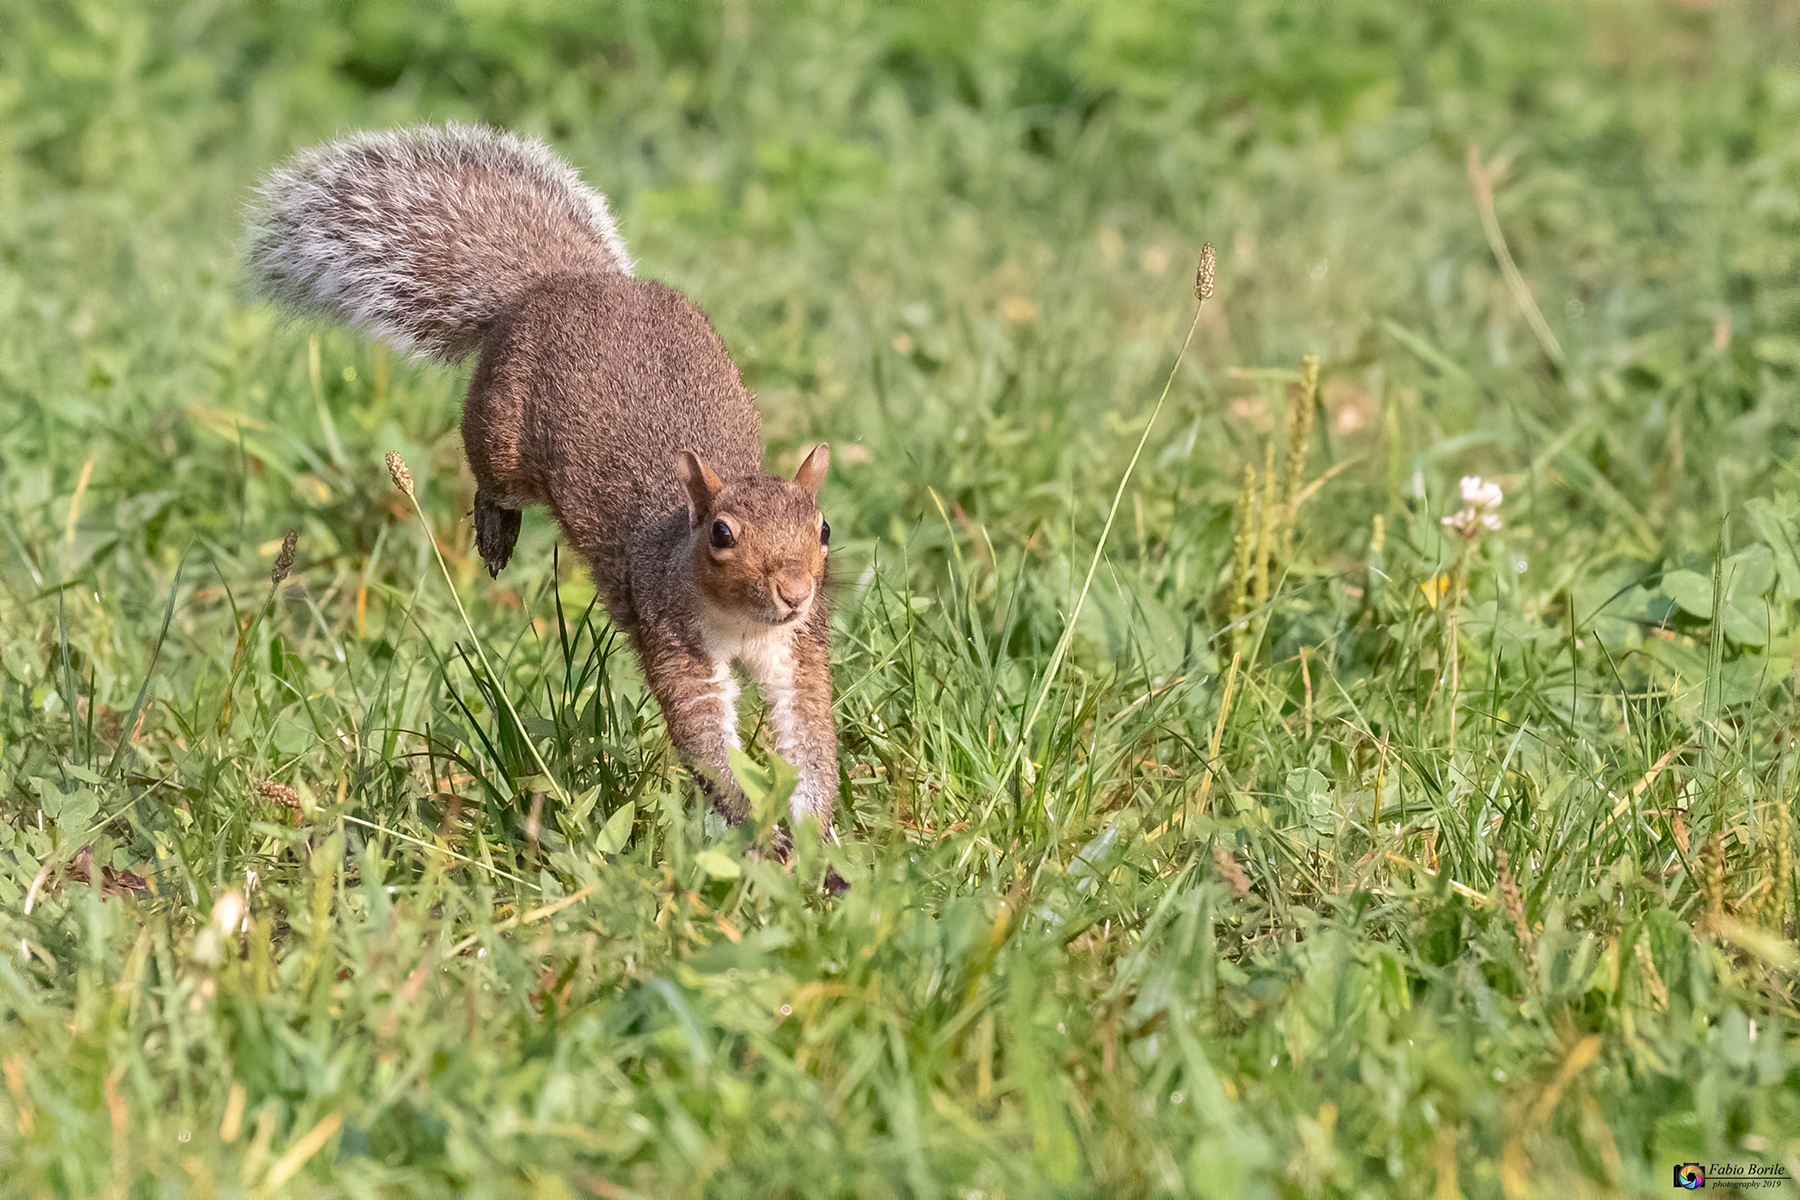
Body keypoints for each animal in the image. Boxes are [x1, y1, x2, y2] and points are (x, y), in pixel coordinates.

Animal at [245, 123, 842, 861]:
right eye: (722, 534)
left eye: (823, 529)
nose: (795, 592)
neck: (743, 623)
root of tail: (564, 283)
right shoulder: (673, 632)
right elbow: (704, 737)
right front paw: (763, 829)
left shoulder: (798, 649)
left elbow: (808, 735)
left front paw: (818, 832)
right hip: (502, 432)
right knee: (493, 478)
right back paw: (495, 527)